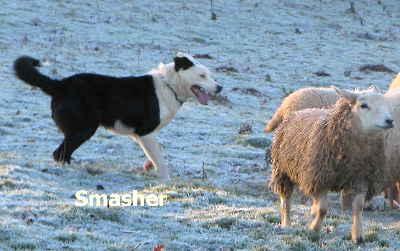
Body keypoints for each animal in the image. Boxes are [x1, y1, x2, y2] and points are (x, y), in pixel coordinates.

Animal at [13, 53, 222, 181]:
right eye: (202, 76)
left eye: (210, 75)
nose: (220, 88)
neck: (169, 86)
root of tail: (59, 84)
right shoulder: (146, 133)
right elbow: (160, 160)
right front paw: (166, 180)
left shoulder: (141, 136)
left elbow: (153, 155)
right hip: (84, 129)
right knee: (60, 154)